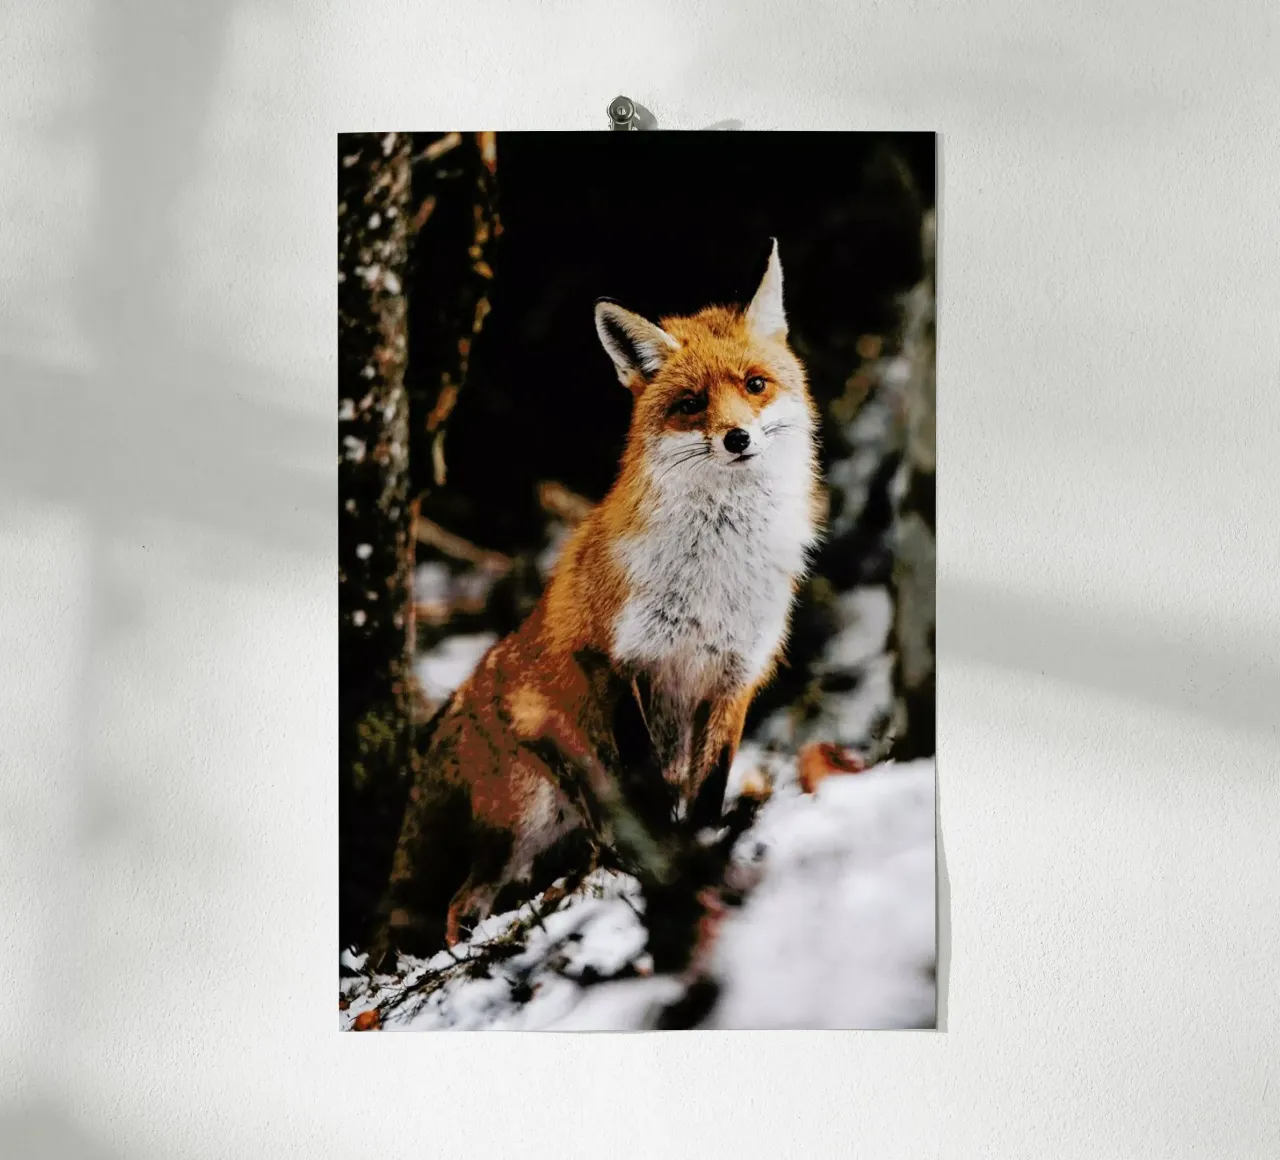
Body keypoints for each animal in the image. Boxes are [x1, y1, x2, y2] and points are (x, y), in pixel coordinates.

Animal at [374, 240, 824, 957]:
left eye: (755, 384)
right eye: (691, 403)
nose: (737, 438)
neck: (715, 574)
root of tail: (458, 702)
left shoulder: (734, 678)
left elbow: (707, 793)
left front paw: (699, 852)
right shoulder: (619, 661)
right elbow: (649, 787)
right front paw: (672, 868)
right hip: (524, 820)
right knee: (458, 902)